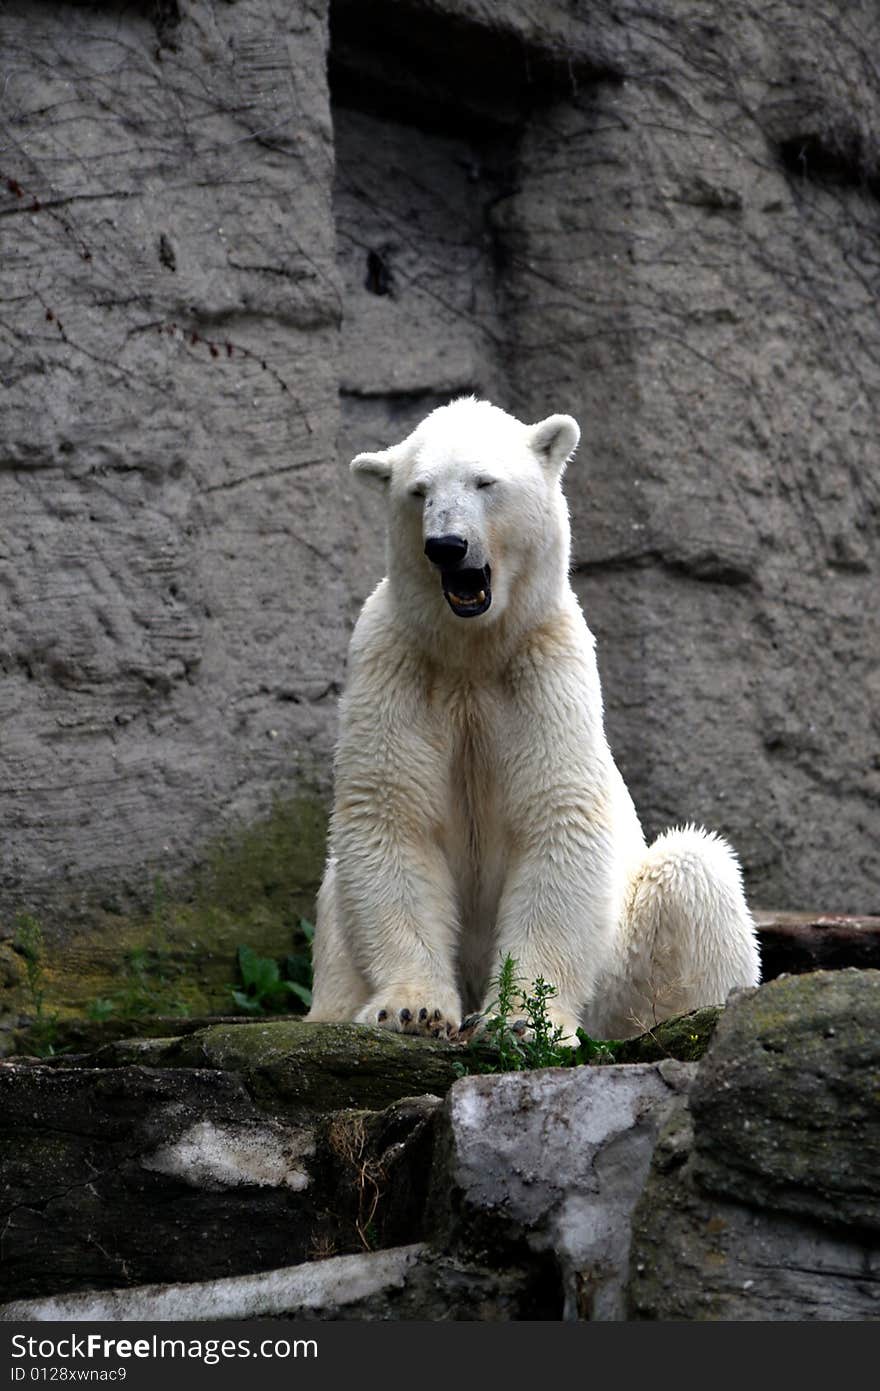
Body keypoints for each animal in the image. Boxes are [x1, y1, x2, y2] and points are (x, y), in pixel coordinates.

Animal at [305, 397, 756, 1040]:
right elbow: (392, 814)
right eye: (418, 491)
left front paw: (522, 1019)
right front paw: (412, 1009)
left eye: (484, 482)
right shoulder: (394, 665)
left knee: (697, 871)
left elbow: (556, 815)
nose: (446, 545)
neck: (472, 652)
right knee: (335, 890)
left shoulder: (545, 672)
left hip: (623, 960)